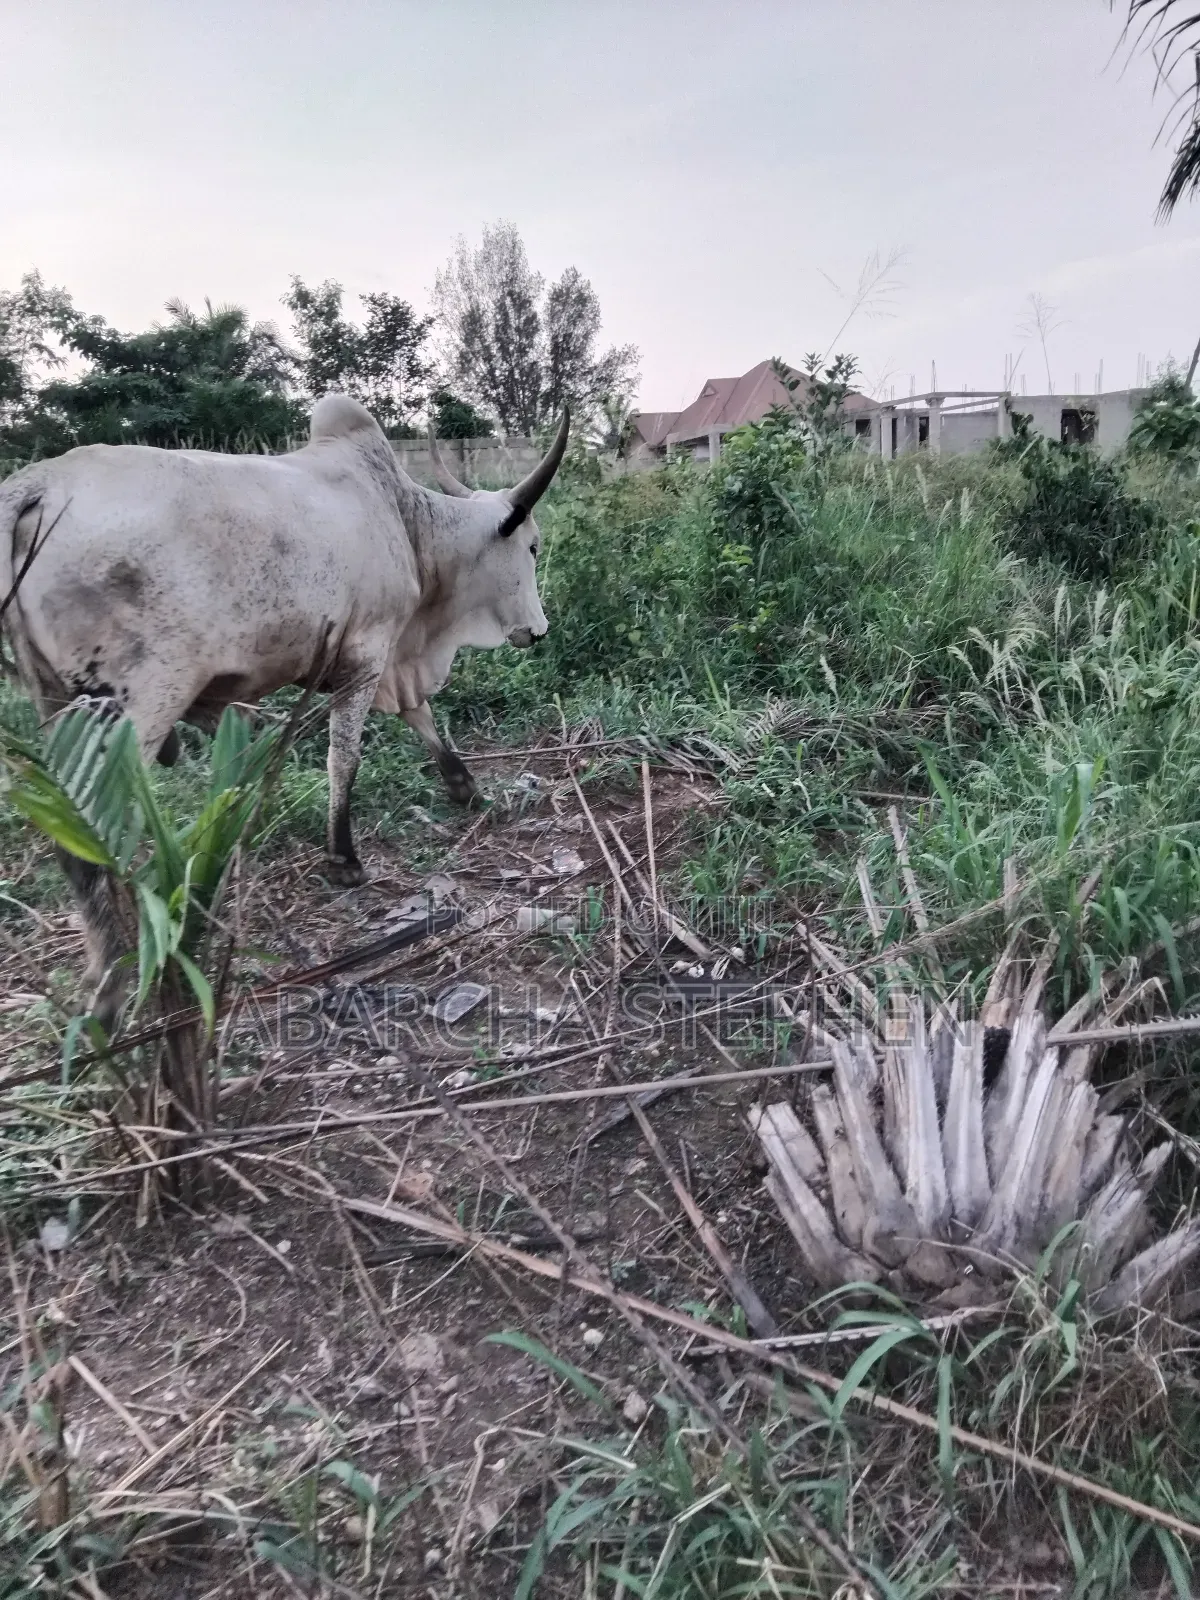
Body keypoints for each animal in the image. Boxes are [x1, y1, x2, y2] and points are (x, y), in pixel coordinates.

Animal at [1, 394, 567, 1023]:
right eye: (533, 546)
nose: (539, 630)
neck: (407, 522)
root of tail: (38, 484)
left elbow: (418, 715)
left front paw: (463, 785)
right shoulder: (367, 655)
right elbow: (345, 758)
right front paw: (344, 860)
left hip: (57, 704)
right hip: (140, 705)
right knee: (92, 836)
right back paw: (113, 982)